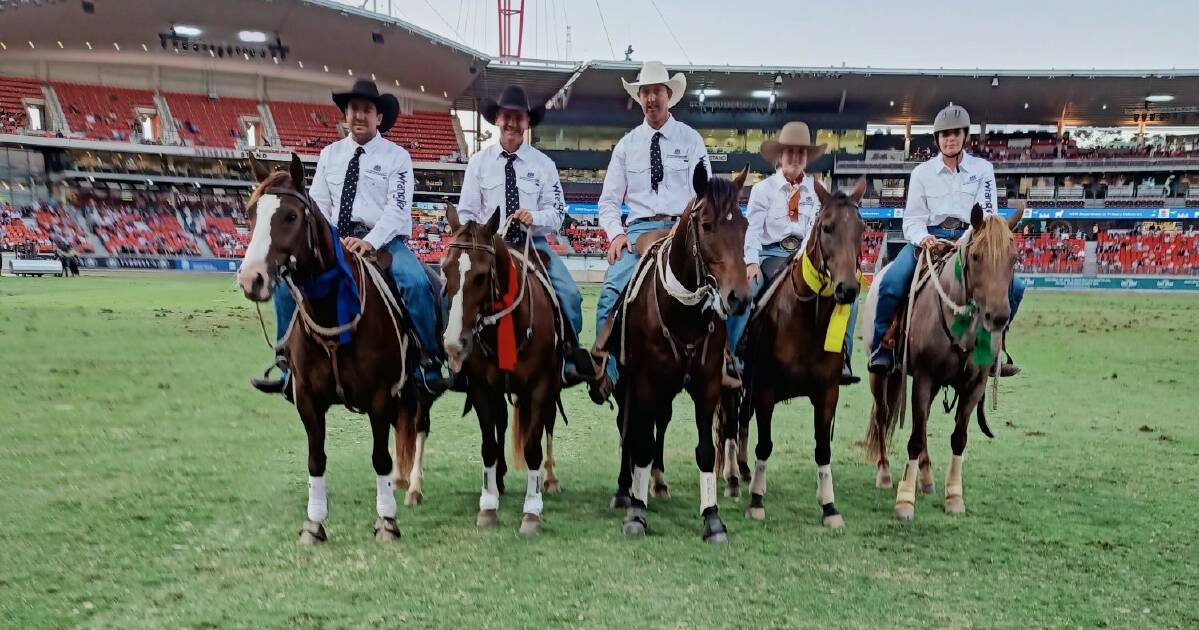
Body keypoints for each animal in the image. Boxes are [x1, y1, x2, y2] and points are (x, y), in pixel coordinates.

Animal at [231, 154, 434, 542]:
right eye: (250, 213)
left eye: (290, 216)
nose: (252, 279)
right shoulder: (308, 399)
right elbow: (316, 458)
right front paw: (314, 523)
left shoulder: (380, 397)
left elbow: (380, 458)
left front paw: (386, 520)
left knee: (418, 430)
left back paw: (413, 488)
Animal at [714, 178, 868, 528]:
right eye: (826, 227)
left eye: (862, 229)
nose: (848, 289)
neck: (804, 319)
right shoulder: (766, 390)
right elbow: (765, 444)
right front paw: (757, 501)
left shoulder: (827, 393)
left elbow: (823, 449)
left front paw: (829, 507)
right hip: (733, 384)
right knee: (729, 426)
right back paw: (731, 478)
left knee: (740, 424)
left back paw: (741, 471)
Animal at [863, 202, 1021, 520]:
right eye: (976, 256)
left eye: (1014, 258)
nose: (997, 318)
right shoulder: (924, 377)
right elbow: (913, 437)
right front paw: (904, 500)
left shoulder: (974, 384)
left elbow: (958, 437)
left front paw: (954, 496)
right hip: (880, 374)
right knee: (884, 416)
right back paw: (885, 473)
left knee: (922, 425)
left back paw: (925, 478)